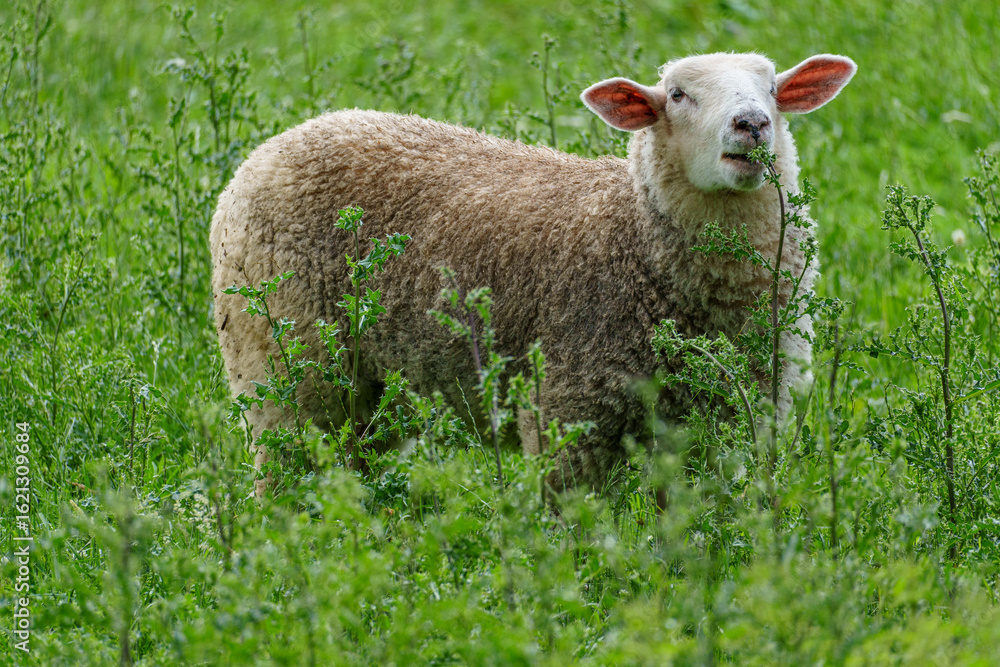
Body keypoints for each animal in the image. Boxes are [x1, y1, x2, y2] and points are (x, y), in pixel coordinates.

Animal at [210, 52, 856, 496]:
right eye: (677, 95)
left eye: (772, 89)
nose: (751, 124)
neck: (631, 233)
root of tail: (275, 145)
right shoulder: (567, 410)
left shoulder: (730, 423)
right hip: (282, 363)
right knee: (287, 477)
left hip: (373, 391)